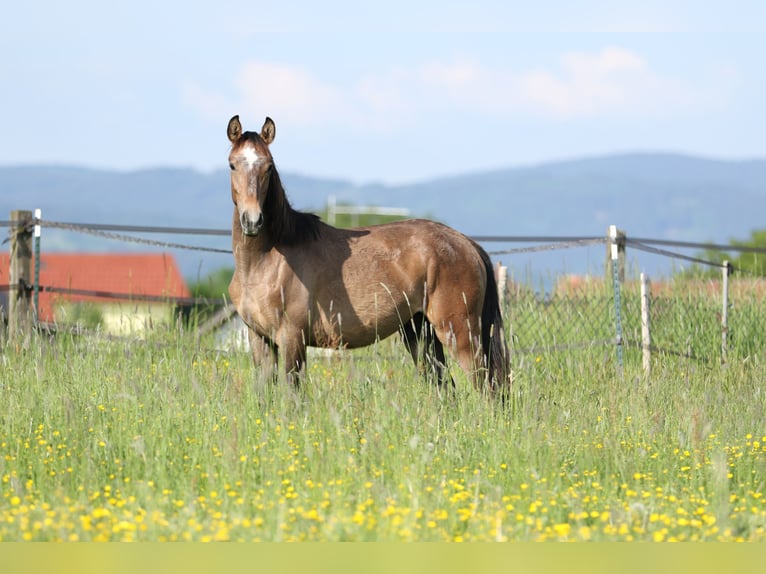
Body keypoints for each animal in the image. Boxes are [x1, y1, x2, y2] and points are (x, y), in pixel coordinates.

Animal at [225, 117, 510, 396]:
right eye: (232, 165)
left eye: (268, 166)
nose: (253, 221)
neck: (267, 261)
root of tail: (465, 243)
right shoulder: (259, 339)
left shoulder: (292, 338)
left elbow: (293, 395)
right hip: (419, 332)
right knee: (445, 387)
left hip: (459, 333)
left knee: (486, 386)